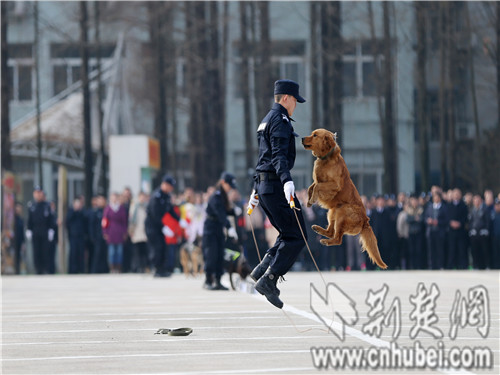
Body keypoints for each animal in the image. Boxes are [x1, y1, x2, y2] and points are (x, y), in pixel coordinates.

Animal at [300, 129, 386, 270]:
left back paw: (325, 241)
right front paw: (308, 200)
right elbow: (311, 186)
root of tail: (365, 220)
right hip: (333, 211)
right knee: (331, 232)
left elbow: (317, 186)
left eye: (315, 135)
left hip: (343, 211)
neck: (326, 158)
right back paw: (318, 229)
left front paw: (312, 199)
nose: (301, 138)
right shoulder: (317, 181)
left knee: (337, 239)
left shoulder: (335, 184)